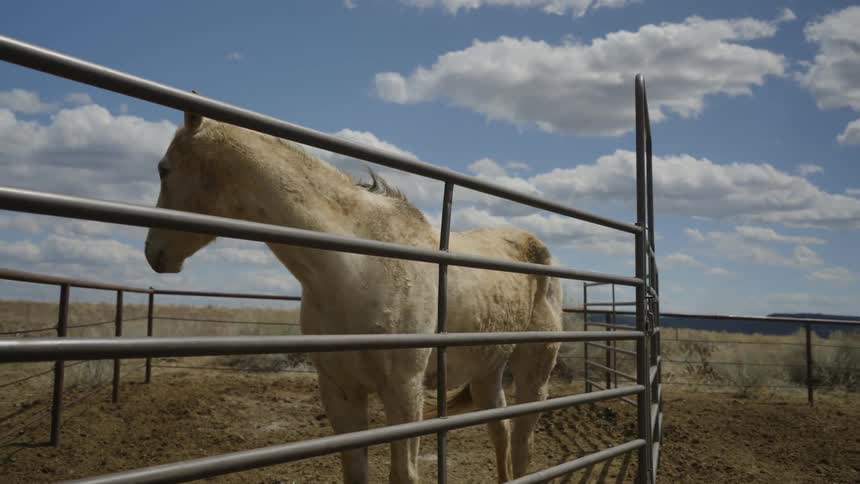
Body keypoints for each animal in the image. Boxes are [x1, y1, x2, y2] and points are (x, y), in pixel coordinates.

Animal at [144, 110, 562, 483]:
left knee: (523, 442)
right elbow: (355, 471)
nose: (152, 253)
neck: (357, 268)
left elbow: (404, 474)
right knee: (501, 431)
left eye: (164, 168)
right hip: (487, 370)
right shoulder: (340, 390)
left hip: (533, 371)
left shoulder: (404, 391)